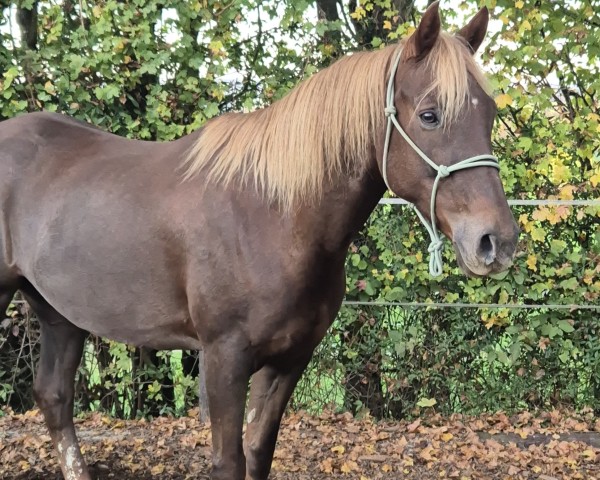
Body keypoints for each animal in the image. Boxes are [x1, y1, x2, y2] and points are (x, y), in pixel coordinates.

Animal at [0, 3, 516, 480]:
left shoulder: (289, 359)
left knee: (54, 396)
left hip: (61, 312)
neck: (271, 217)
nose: (497, 241)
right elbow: (229, 460)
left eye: (489, 114)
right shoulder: (224, 359)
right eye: (430, 115)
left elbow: (258, 453)